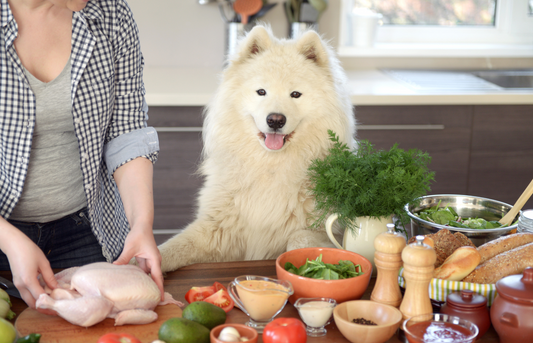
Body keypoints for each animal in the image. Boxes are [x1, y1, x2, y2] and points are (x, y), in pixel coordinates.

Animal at [160, 25, 356, 274]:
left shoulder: (323, 229)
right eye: (261, 92)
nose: (275, 120)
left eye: (295, 94)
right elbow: (168, 249)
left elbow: (299, 241)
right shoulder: (216, 228)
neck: (270, 167)